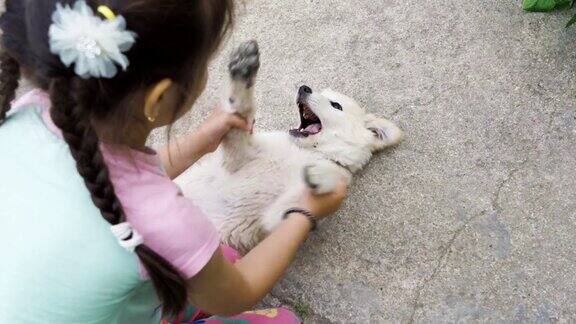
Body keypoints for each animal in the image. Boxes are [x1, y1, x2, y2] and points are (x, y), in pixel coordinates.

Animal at [178, 39, 402, 253]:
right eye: (318, 91)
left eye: (336, 105)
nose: (304, 88)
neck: (303, 151)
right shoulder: (241, 156)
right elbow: (242, 110)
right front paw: (244, 70)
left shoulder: (276, 220)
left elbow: (326, 182)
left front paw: (320, 175)